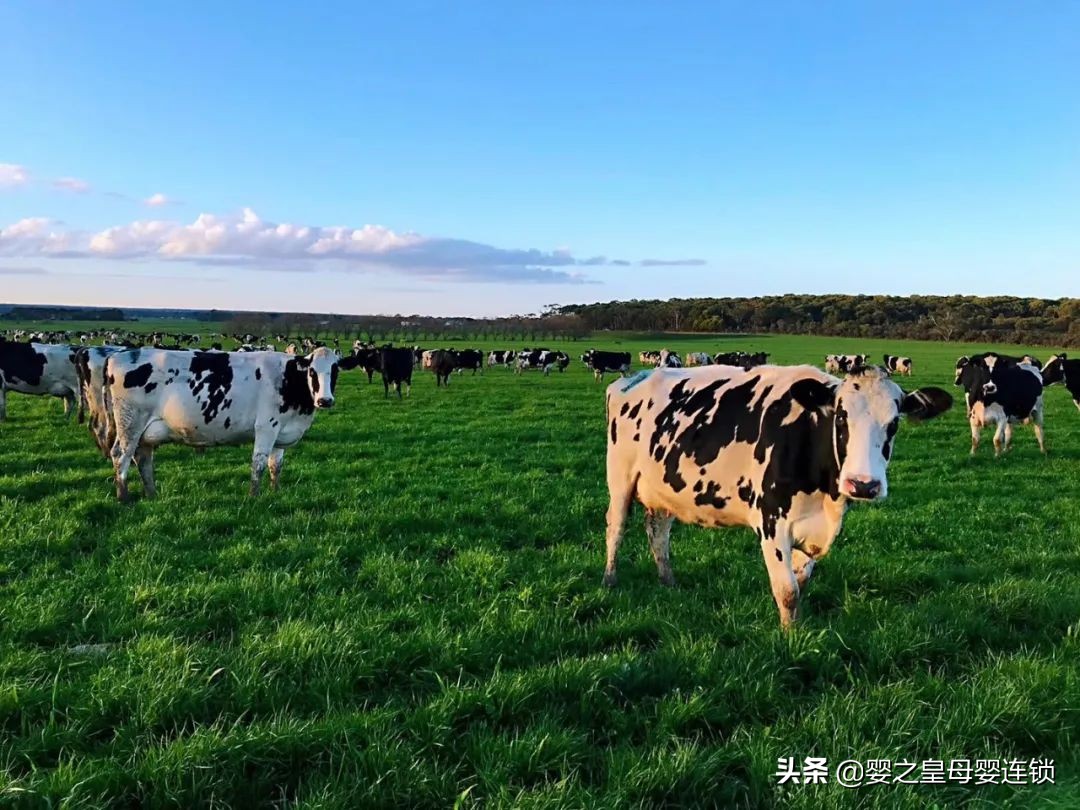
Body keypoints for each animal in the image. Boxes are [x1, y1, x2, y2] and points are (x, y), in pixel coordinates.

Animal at [100, 349, 339, 501]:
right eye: (312, 371)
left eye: (335, 371)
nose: (325, 400)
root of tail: (116, 355)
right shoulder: (266, 426)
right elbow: (259, 463)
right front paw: (254, 497)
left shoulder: (282, 432)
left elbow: (276, 466)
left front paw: (275, 492)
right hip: (130, 422)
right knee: (120, 455)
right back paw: (123, 498)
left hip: (145, 432)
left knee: (143, 458)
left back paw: (152, 495)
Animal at [604, 367, 950, 626]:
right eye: (841, 418)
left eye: (893, 424)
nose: (863, 485)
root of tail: (633, 377)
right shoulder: (772, 522)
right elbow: (787, 591)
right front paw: (790, 640)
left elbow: (801, 584)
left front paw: (799, 629)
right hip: (620, 478)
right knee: (615, 528)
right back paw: (609, 580)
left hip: (663, 489)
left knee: (658, 532)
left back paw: (669, 582)